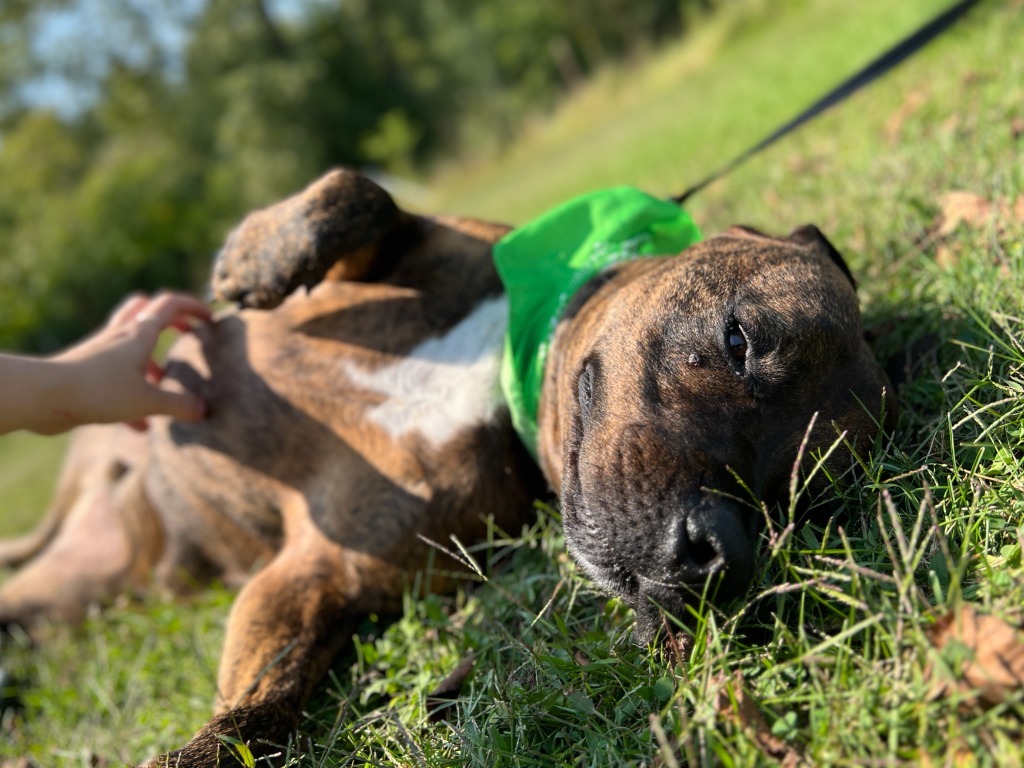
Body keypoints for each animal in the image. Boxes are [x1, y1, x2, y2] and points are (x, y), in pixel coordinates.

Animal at [0, 167, 888, 765]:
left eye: (799, 497)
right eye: (740, 341)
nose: (714, 557)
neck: (499, 373)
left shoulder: (325, 579)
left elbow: (264, 705)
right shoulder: (428, 245)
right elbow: (359, 192)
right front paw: (259, 259)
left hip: (76, 587)